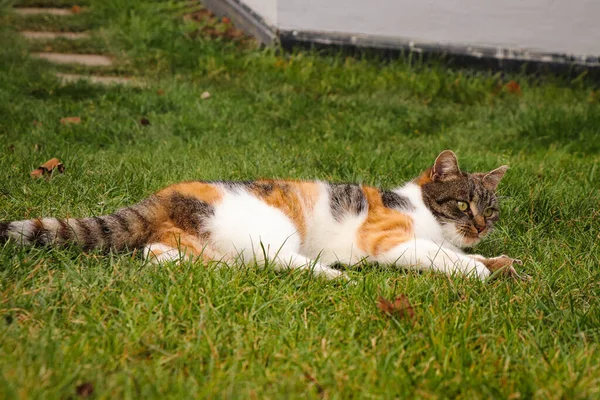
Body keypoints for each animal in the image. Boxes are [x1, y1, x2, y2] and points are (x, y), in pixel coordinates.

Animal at [0, 151, 524, 282]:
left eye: (491, 208)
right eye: (463, 204)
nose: (480, 226)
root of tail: (165, 194)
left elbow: (455, 253)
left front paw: (499, 262)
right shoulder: (387, 240)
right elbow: (437, 256)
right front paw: (479, 270)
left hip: (194, 238)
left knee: (157, 252)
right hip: (274, 226)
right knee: (273, 260)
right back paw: (334, 274)